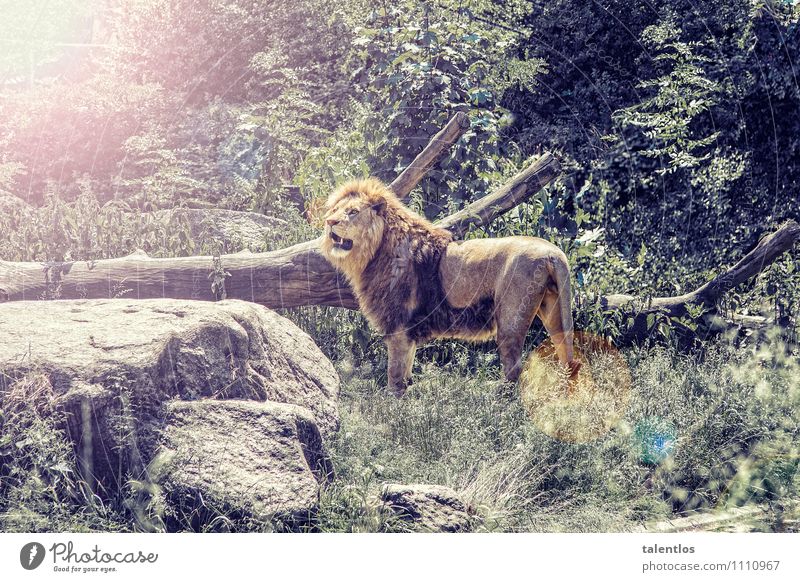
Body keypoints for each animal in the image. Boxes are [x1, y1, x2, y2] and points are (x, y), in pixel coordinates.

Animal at [320, 178, 580, 396]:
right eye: (333, 211)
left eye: (352, 212)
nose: (330, 222)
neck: (373, 252)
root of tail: (552, 252)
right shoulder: (407, 329)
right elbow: (407, 364)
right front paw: (407, 393)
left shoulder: (398, 323)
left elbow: (395, 369)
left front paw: (392, 400)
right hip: (554, 311)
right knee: (568, 358)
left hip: (510, 319)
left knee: (514, 367)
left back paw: (497, 398)